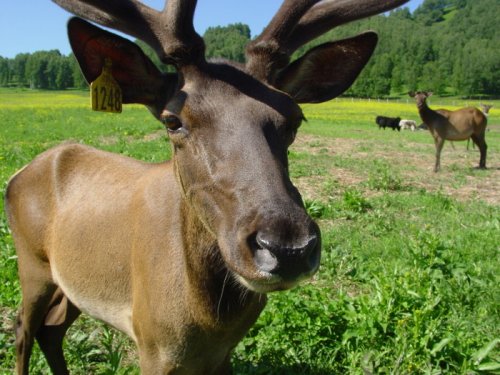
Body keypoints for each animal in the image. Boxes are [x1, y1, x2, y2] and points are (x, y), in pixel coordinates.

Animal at [4, 0, 410, 374]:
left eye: (295, 118)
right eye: (173, 120)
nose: (287, 247)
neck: (208, 324)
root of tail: (18, 174)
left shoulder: (223, 353)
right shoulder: (151, 343)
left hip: (71, 284)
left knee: (51, 330)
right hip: (31, 262)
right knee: (24, 327)